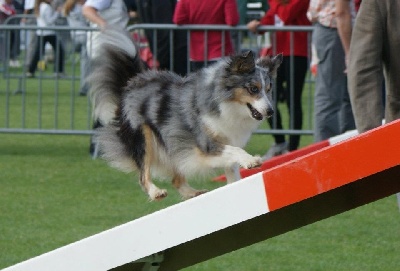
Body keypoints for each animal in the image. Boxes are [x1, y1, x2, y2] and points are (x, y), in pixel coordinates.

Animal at [90, 28, 282, 202]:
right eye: (253, 89)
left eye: (268, 89)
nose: (270, 111)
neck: (226, 104)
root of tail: (131, 83)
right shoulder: (205, 144)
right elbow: (235, 150)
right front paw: (251, 160)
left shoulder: (226, 140)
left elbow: (232, 168)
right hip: (144, 138)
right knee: (143, 175)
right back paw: (156, 192)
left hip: (172, 143)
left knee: (175, 179)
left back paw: (194, 193)